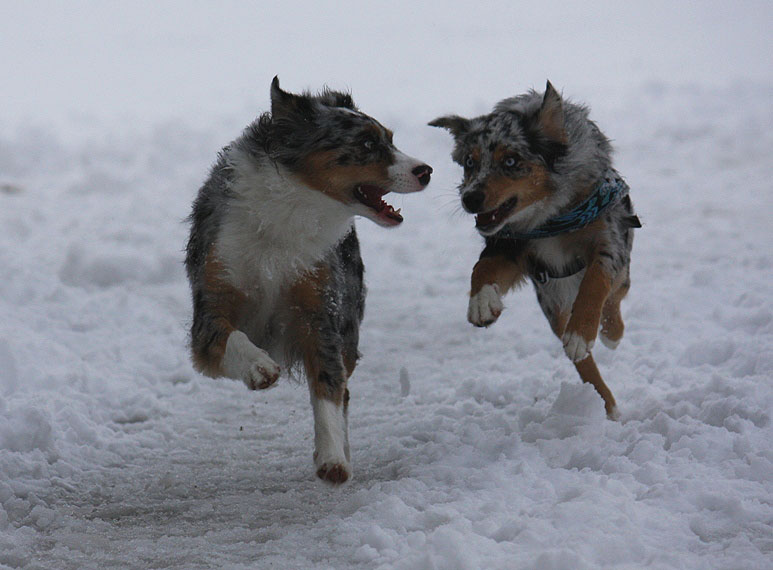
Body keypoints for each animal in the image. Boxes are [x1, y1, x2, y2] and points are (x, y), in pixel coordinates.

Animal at [185, 77, 432, 482]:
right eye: (367, 143)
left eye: (391, 139)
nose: (426, 170)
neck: (289, 213)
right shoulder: (211, 306)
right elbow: (230, 337)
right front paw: (259, 368)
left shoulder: (320, 307)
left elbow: (328, 384)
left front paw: (332, 457)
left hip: (349, 319)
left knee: (344, 386)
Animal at [428, 81, 640, 418]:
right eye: (470, 163)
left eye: (511, 161)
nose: (469, 199)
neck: (548, 217)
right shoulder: (516, 250)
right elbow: (481, 267)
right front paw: (481, 303)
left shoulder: (610, 241)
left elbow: (596, 280)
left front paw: (583, 332)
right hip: (552, 304)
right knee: (584, 365)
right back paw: (605, 404)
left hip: (620, 271)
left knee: (615, 297)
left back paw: (609, 334)